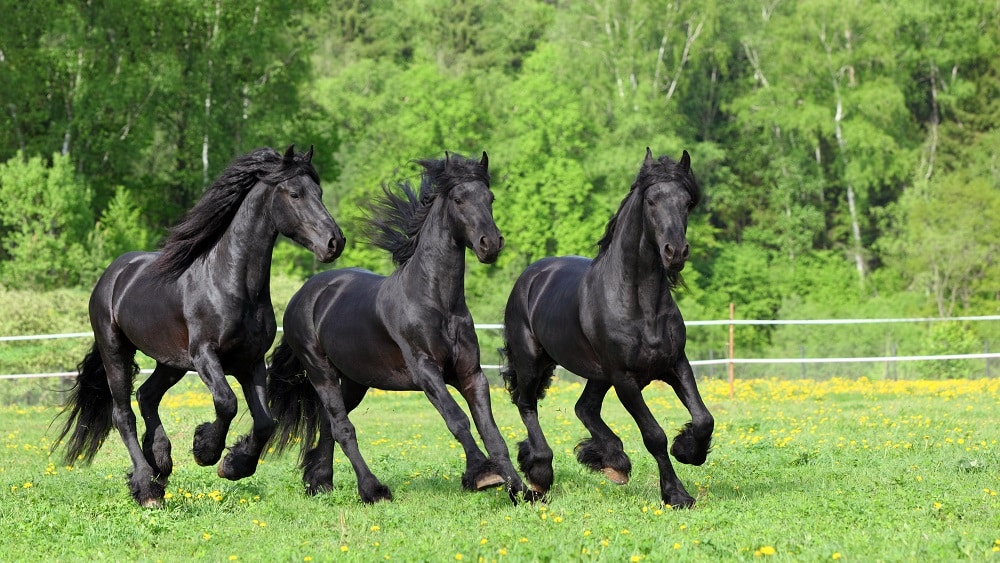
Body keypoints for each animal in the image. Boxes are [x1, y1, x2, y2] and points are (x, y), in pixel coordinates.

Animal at [54, 145, 345, 507]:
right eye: (294, 194)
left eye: (319, 192)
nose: (335, 242)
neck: (230, 283)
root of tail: (112, 275)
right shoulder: (205, 355)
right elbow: (226, 402)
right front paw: (205, 449)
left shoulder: (251, 361)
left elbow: (265, 421)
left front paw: (234, 465)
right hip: (116, 350)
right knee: (123, 414)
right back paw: (147, 487)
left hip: (171, 362)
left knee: (147, 395)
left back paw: (160, 461)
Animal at [267, 152, 532, 503]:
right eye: (459, 199)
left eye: (490, 198)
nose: (490, 244)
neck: (435, 303)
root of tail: (304, 294)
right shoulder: (426, 372)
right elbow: (458, 420)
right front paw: (482, 474)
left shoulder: (470, 374)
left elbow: (492, 432)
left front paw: (522, 491)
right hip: (320, 370)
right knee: (342, 427)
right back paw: (372, 490)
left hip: (355, 380)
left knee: (329, 422)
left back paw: (320, 482)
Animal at [500, 148, 713, 508]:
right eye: (651, 201)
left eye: (687, 202)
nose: (675, 251)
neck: (640, 304)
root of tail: (531, 276)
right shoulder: (625, 379)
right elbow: (654, 435)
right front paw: (676, 494)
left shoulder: (675, 364)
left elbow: (703, 419)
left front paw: (687, 451)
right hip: (532, 361)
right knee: (526, 404)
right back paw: (540, 473)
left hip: (597, 374)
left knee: (584, 408)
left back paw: (614, 462)